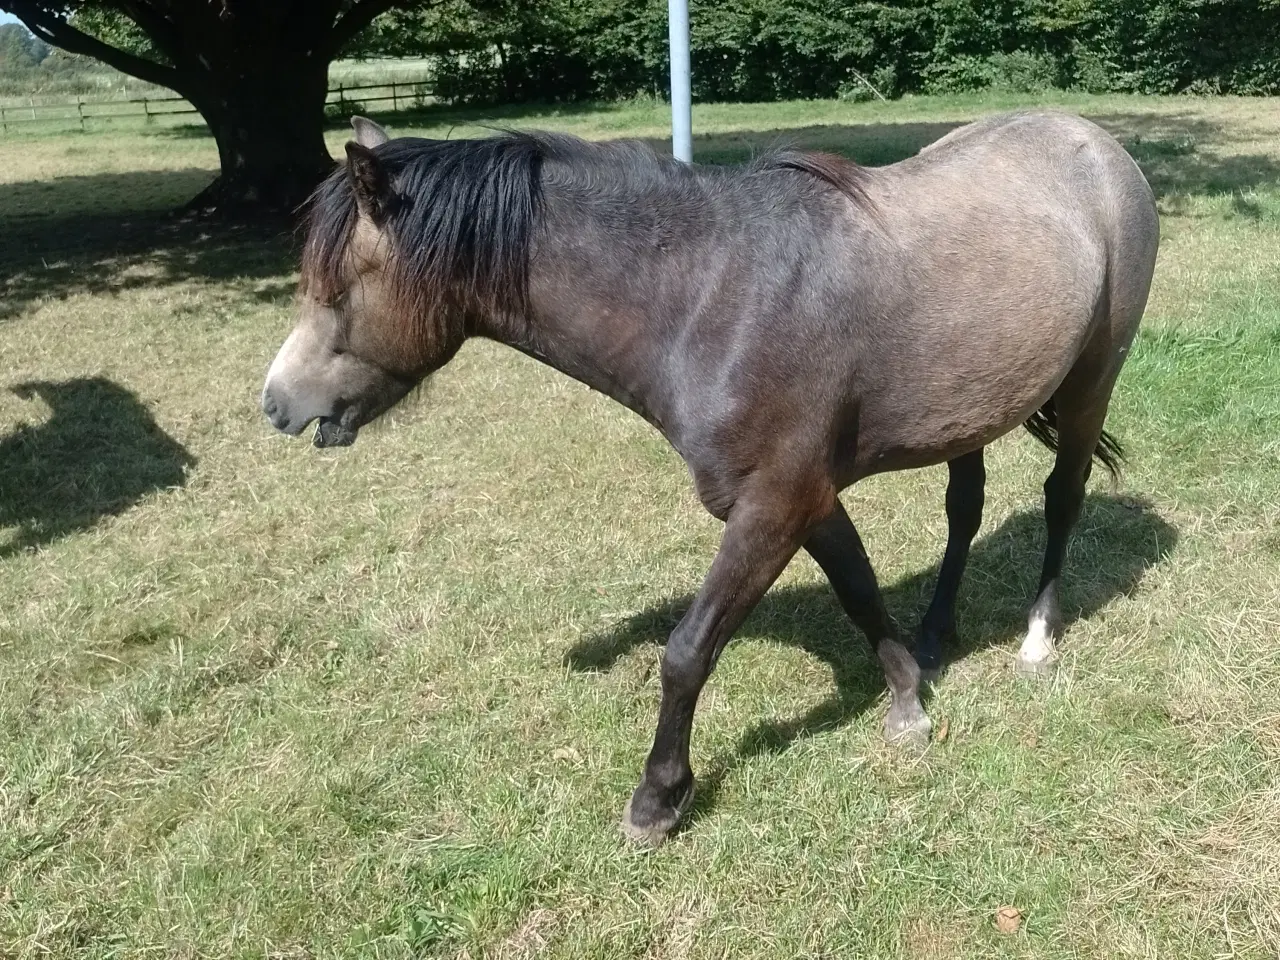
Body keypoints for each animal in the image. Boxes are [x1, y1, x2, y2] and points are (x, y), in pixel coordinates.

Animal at [262, 112, 1162, 844]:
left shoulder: (775, 505)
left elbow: (688, 651)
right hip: (969, 411)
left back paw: (1038, 638)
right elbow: (861, 590)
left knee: (1062, 500)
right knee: (964, 509)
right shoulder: (803, 500)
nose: (276, 404)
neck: (709, 296)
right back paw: (940, 634)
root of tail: (1093, 139)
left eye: (337, 287)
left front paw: (658, 799)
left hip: (1093, 380)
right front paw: (909, 696)